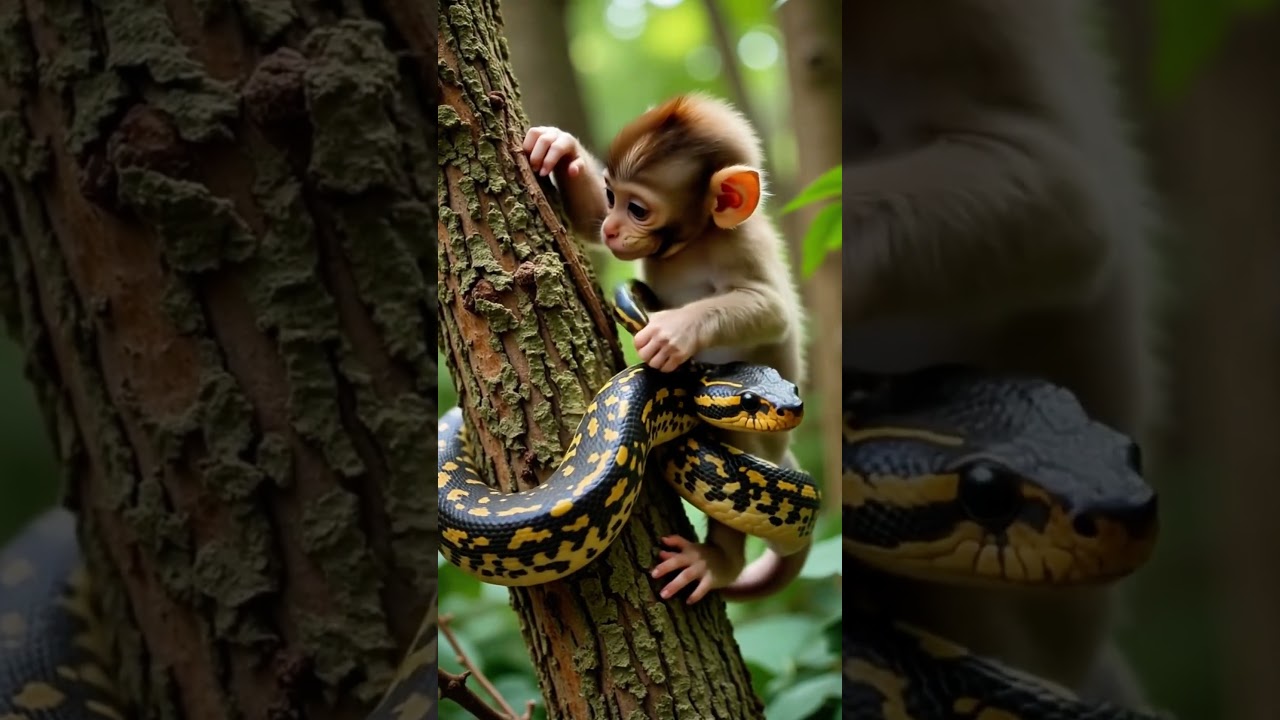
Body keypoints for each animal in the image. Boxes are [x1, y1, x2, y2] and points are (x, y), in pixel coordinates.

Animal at [522, 93, 811, 604]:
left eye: (638, 209)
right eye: (750, 400)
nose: (793, 407)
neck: (694, 244)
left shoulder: (744, 248)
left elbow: (771, 308)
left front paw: (671, 332)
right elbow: (588, 224)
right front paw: (559, 149)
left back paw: (715, 564)